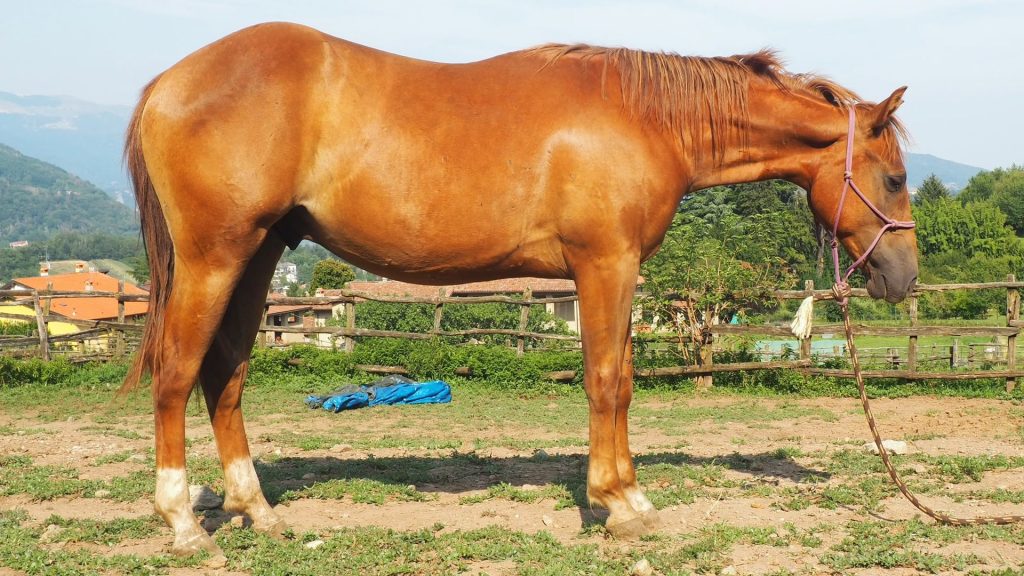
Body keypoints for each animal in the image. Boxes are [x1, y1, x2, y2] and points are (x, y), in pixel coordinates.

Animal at [121, 22, 918, 556]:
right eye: (895, 177)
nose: (904, 277)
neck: (644, 118)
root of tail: (167, 83)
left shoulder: (614, 269)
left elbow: (621, 377)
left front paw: (624, 493)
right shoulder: (605, 263)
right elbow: (607, 380)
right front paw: (621, 505)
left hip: (256, 257)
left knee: (225, 375)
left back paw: (257, 511)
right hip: (214, 259)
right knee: (177, 373)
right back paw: (184, 523)